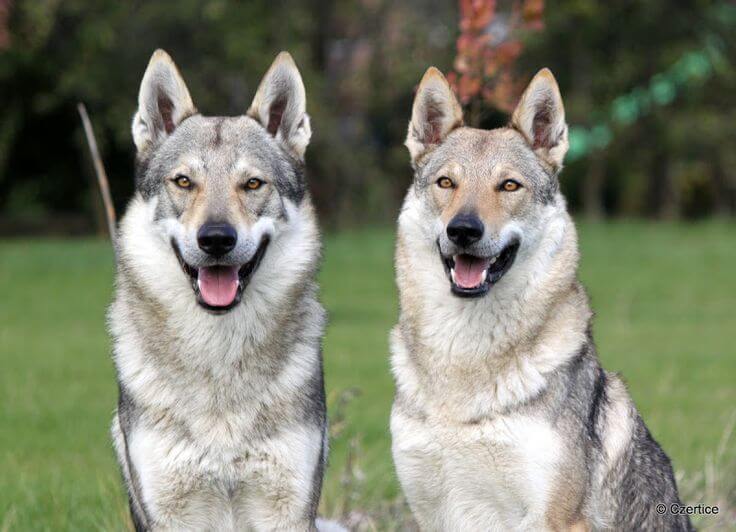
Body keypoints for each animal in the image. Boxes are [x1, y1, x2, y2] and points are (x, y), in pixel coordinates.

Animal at [389, 67, 692, 531]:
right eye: (447, 183)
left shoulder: (555, 517)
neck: (464, 360)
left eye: (509, 185)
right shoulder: (429, 513)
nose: (463, 230)